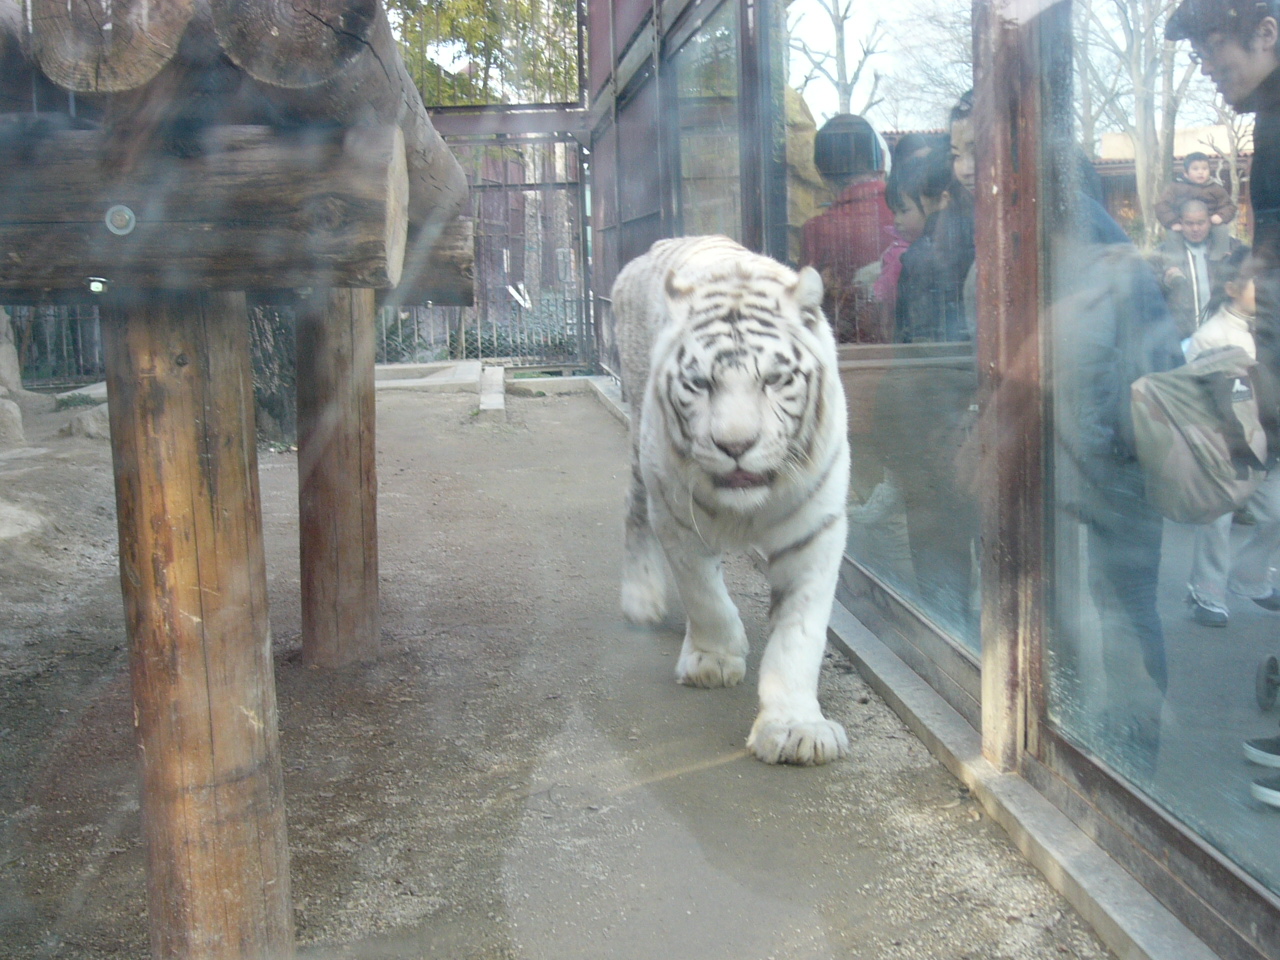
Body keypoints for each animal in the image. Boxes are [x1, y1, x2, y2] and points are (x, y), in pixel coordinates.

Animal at [616, 236, 855, 773]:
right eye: (700, 383)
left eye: (774, 379)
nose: (735, 445)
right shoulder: (676, 517)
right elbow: (704, 594)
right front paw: (714, 659)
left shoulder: (815, 529)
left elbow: (799, 633)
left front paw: (795, 728)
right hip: (641, 443)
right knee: (634, 513)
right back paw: (641, 599)